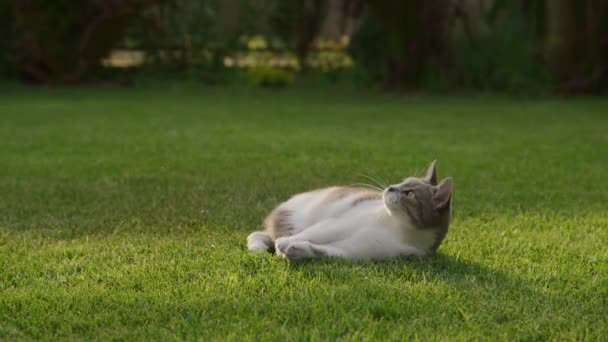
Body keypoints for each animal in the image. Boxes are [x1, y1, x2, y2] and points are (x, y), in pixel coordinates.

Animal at [247, 161, 452, 262]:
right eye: (402, 181)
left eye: (409, 193)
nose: (390, 187)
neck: (396, 228)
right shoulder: (338, 223)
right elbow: (315, 233)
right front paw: (287, 242)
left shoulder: (357, 251)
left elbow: (329, 251)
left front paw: (297, 249)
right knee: (257, 234)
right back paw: (259, 247)